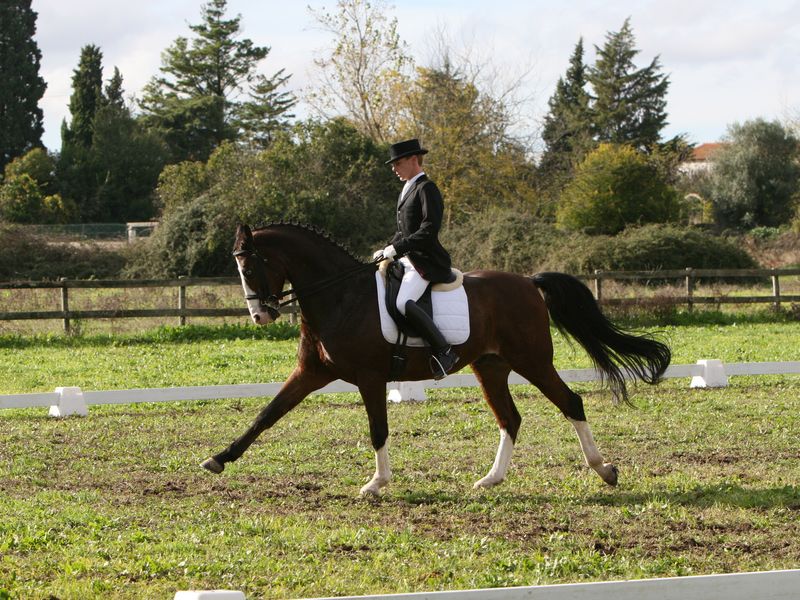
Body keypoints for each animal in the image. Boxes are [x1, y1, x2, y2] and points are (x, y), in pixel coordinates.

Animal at [201, 223, 671, 495]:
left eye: (251, 265)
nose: (260, 316)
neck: (340, 296)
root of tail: (528, 282)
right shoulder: (310, 372)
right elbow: (266, 415)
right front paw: (218, 459)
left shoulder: (370, 377)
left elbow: (377, 430)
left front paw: (376, 483)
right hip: (490, 366)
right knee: (511, 418)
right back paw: (491, 479)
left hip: (532, 360)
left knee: (571, 402)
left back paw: (604, 470)